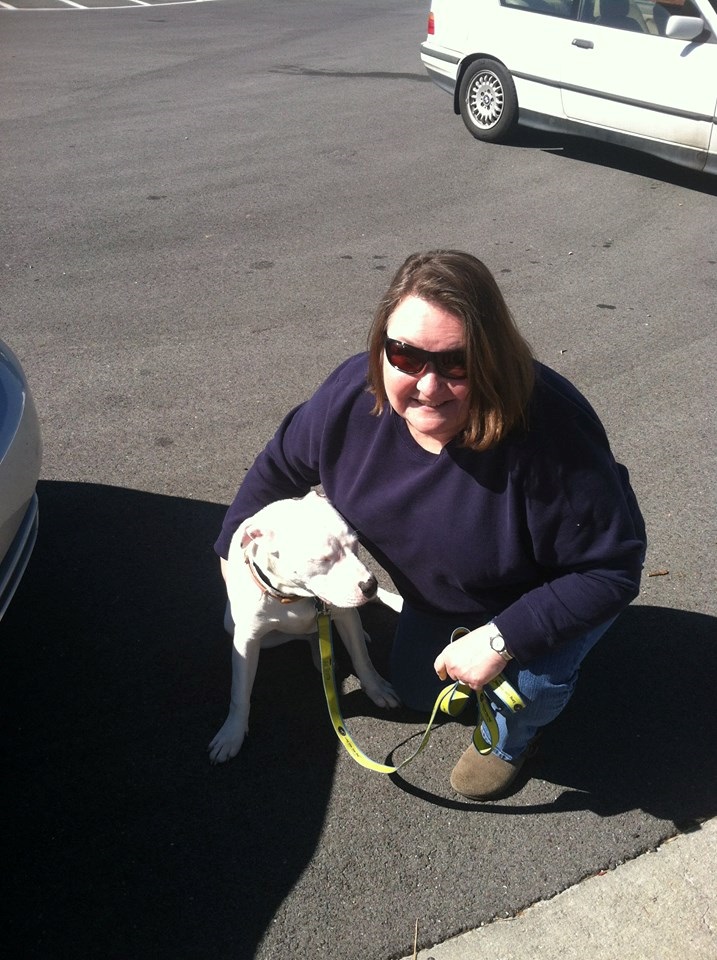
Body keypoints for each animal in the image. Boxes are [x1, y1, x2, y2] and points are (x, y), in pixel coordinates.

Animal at [208, 491, 401, 764]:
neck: (295, 597)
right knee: (309, 636)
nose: (370, 584)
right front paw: (232, 733)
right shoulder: (246, 640)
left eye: (355, 545)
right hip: (235, 626)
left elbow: (362, 658)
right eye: (323, 559)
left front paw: (375, 687)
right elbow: (239, 692)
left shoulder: (345, 615)